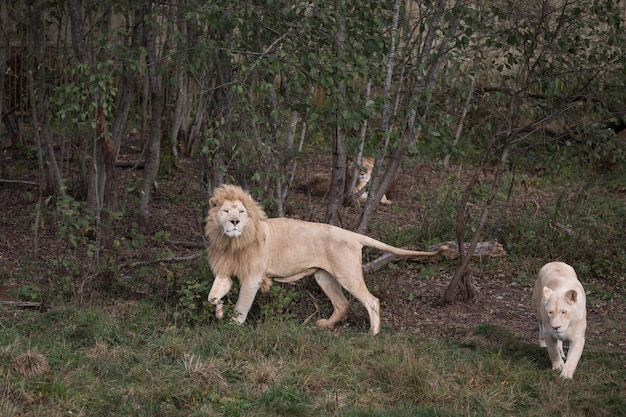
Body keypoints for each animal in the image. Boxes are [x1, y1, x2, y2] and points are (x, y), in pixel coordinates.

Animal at [205, 184, 444, 334]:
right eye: (226, 211)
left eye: (241, 212)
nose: (234, 222)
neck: (231, 242)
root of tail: (353, 235)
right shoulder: (225, 272)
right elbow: (212, 297)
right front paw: (220, 313)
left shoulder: (252, 277)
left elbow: (242, 305)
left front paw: (234, 326)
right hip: (324, 277)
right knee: (342, 304)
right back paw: (326, 325)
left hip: (348, 275)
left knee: (372, 300)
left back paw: (373, 333)